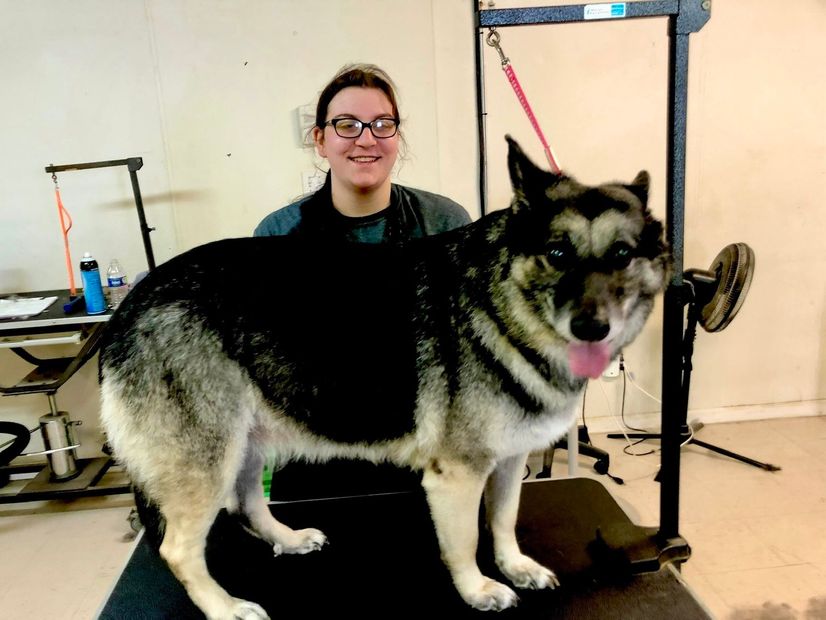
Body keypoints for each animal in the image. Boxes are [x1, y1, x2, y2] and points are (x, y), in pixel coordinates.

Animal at [98, 138, 668, 616]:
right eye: (557, 253)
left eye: (622, 254)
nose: (591, 328)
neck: (500, 303)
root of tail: (127, 309)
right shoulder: (456, 477)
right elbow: (464, 542)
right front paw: (477, 588)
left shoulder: (508, 463)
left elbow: (504, 522)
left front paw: (514, 566)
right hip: (208, 459)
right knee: (180, 549)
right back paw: (224, 608)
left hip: (245, 442)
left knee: (245, 503)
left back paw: (285, 538)